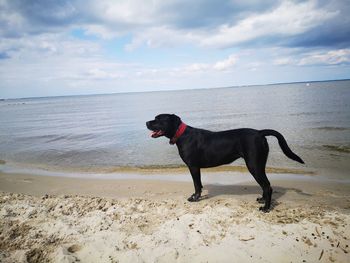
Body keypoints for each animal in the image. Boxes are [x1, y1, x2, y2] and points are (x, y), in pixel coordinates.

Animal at [145, 114, 304, 212]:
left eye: (158, 119)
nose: (146, 122)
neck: (181, 135)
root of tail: (259, 132)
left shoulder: (193, 166)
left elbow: (196, 185)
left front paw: (195, 198)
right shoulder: (196, 168)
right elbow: (200, 184)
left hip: (253, 164)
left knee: (267, 186)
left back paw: (265, 208)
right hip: (259, 164)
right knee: (266, 185)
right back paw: (262, 200)